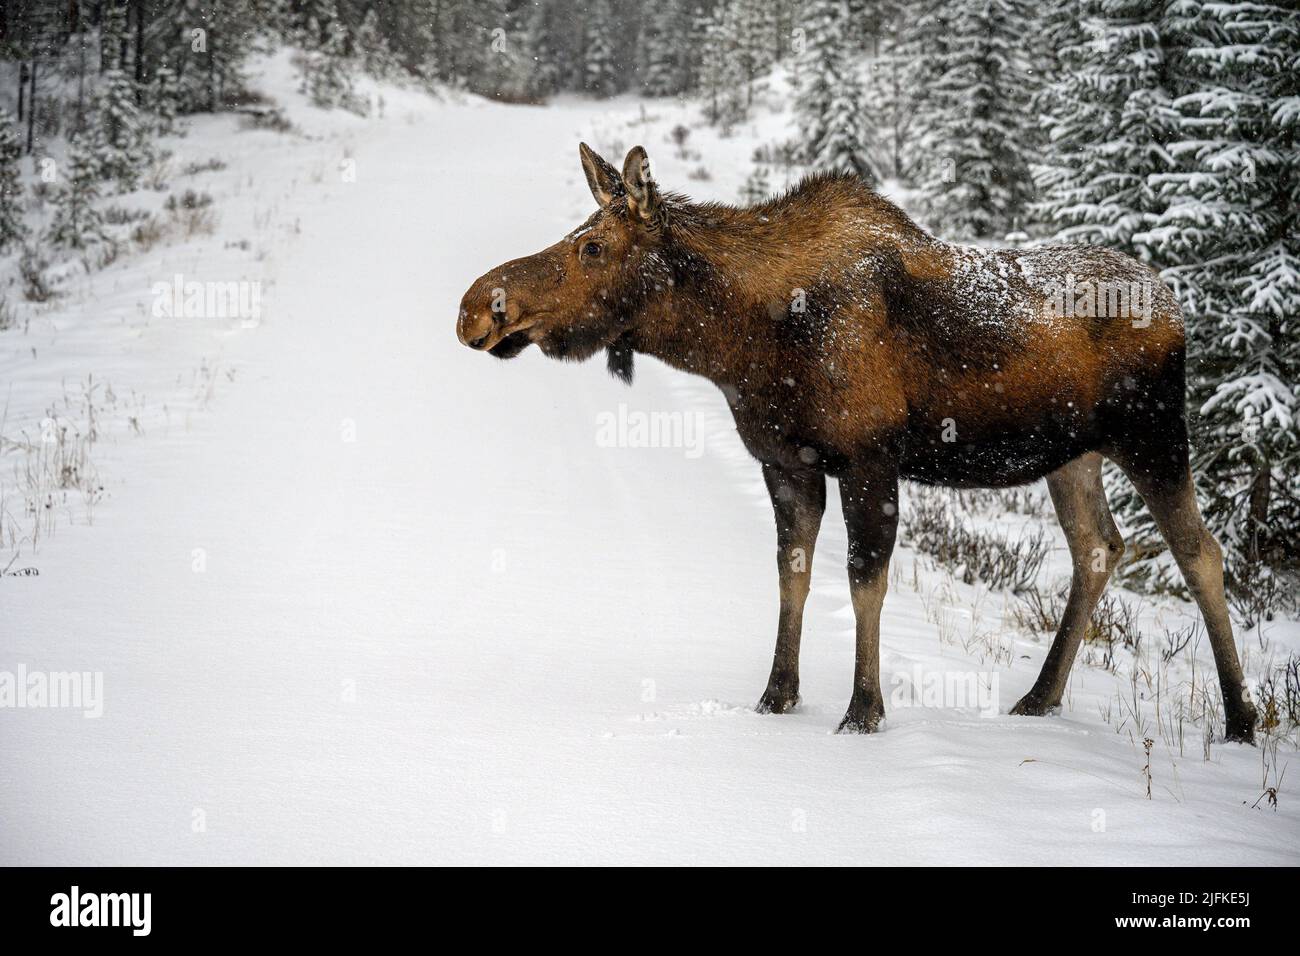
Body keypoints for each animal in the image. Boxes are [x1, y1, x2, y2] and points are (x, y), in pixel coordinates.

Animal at [457, 141, 1258, 743]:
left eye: (592, 245)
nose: (476, 308)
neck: (739, 346)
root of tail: (1175, 302)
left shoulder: (869, 458)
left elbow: (864, 580)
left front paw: (863, 710)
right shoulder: (786, 462)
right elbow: (793, 574)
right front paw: (776, 695)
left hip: (1153, 435)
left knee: (1201, 553)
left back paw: (1242, 718)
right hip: (1073, 455)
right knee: (1099, 547)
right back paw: (1040, 696)